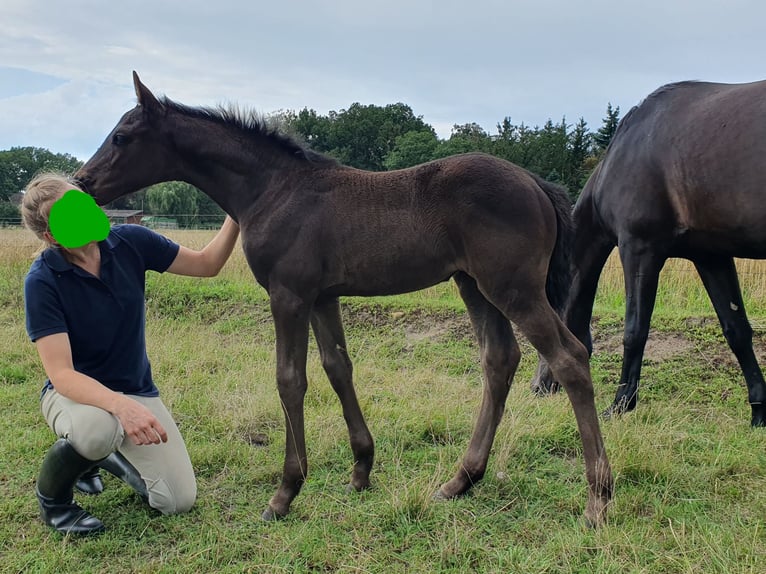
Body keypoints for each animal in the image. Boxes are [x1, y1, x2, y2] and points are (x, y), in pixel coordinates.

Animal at [78, 71, 616, 528]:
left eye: (122, 136)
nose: (83, 182)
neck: (273, 191)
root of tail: (536, 183)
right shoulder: (323, 298)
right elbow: (338, 368)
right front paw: (361, 470)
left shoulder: (289, 295)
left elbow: (290, 380)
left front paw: (285, 493)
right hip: (475, 286)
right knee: (500, 360)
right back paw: (461, 480)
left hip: (513, 287)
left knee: (569, 358)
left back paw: (598, 498)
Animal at [536, 79, 766, 428]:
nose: (537, 387)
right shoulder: (711, 256)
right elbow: (737, 330)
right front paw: (759, 412)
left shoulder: (638, 248)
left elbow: (635, 329)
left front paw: (620, 404)